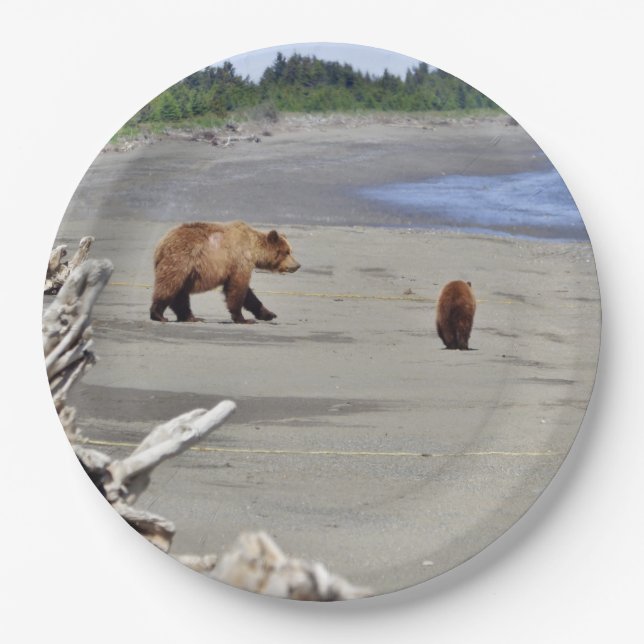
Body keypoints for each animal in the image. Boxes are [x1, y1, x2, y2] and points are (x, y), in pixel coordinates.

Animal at [149, 221, 300, 324]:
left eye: (291, 251)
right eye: (286, 252)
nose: (297, 265)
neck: (253, 250)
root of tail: (161, 243)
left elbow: (249, 295)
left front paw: (269, 314)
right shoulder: (239, 261)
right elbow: (238, 288)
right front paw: (243, 318)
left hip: (187, 270)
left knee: (180, 293)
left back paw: (191, 317)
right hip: (181, 260)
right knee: (169, 285)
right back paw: (159, 315)